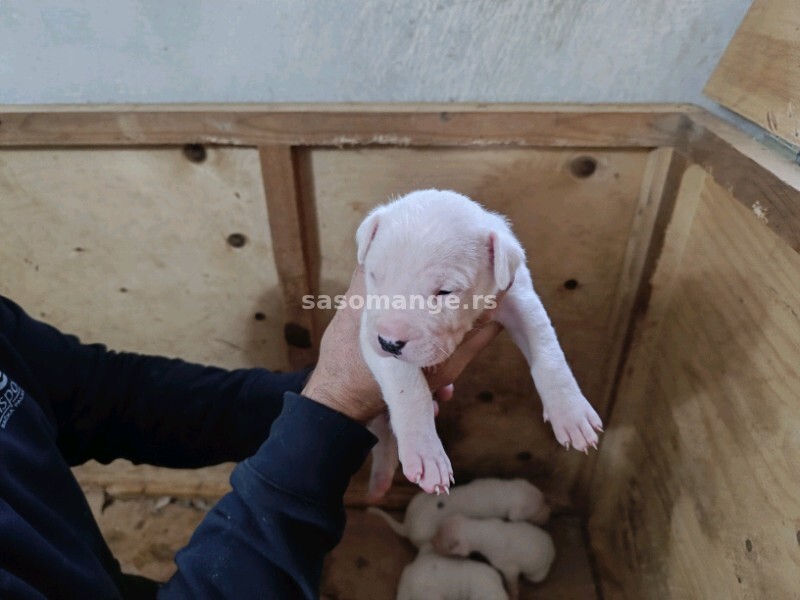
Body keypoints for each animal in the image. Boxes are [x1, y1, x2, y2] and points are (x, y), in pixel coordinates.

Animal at [356, 189, 600, 496]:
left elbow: (548, 351)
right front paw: (426, 452)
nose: (388, 342)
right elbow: (407, 387)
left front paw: (572, 413)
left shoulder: (519, 295)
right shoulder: (366, 328)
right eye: (374, 275)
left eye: (445, 292)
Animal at [368, 478, 552, 548]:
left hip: (417, 499)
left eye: (543, 498)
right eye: (535, 510)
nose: (550, 511)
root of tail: (407, 525)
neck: (507, 493)